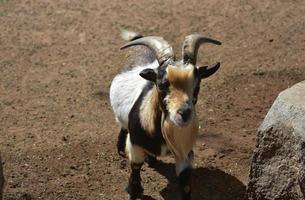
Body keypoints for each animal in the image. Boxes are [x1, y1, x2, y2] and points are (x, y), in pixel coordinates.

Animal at [109, 30, 221, 200]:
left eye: (197, 87)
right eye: (161, 85)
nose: (184, 114)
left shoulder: (184, 153)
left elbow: (185, 183)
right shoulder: (135, 145)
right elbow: (135, 170)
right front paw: (133, 190)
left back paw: (151, 159)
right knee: (122, 125)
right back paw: (121, 148)